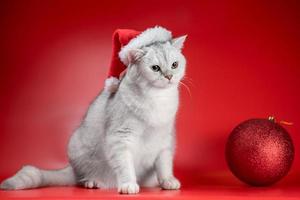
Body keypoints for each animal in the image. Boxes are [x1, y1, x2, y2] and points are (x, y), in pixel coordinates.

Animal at [0, 26, 186, 194]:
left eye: (174, 65)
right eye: (155, 68)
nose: (169, 76)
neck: (158, 100)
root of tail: (72, 169)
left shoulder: (165, 141)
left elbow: (164, 165)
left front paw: (168, 181)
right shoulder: (120, 138)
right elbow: (126, 166)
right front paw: (128, 184)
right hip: (78, 149)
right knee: (83, 179)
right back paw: (92, 182)